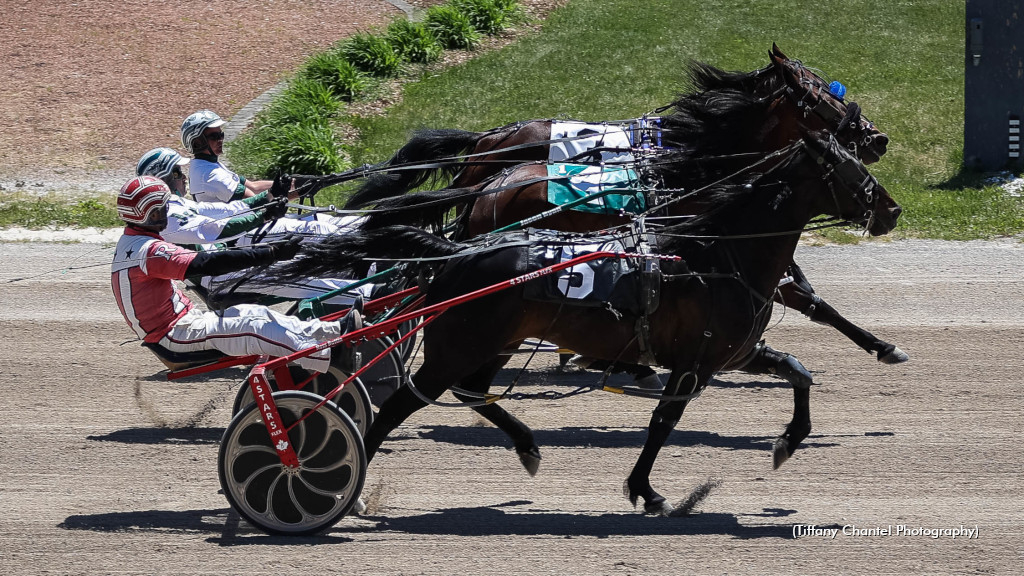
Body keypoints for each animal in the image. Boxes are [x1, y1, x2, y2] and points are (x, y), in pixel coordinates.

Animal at [266, 132, 905, 512]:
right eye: (848, 170)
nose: (893, 209)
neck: (713, 253)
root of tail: (456, 253)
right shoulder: (692, 364)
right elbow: (662, 424)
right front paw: (645, 490)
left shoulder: (733, 352)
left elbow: (797, 371)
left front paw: (788, 441)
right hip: (455, 346)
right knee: (403, 402)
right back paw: (342, 489)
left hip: (492, 343)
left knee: (472, 391)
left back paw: (527, 445)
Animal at [348, 45, 909, 366]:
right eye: (822, 98)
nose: (877, 138)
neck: (689, 167)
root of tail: (491, 158)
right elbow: (802, 295)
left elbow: (810, 298)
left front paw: (882, 345)